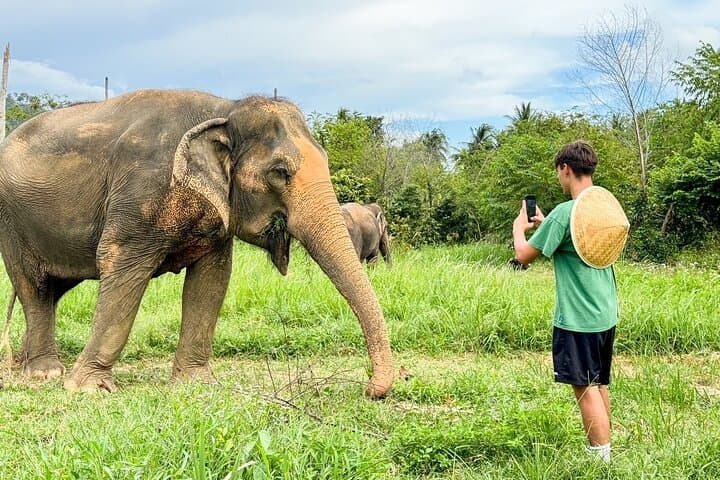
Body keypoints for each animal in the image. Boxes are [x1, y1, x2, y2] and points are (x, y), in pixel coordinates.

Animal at [0, 89, 394, 398]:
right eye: (280, 172)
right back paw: (46, 373)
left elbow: (211, 280)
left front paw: (196, 385)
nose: (369, 389)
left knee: (52, 291)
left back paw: (28, 365)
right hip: (12, 224)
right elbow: (119, 264)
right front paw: (89, 388)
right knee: (35, 289)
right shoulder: (139, 196)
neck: (225, 108)